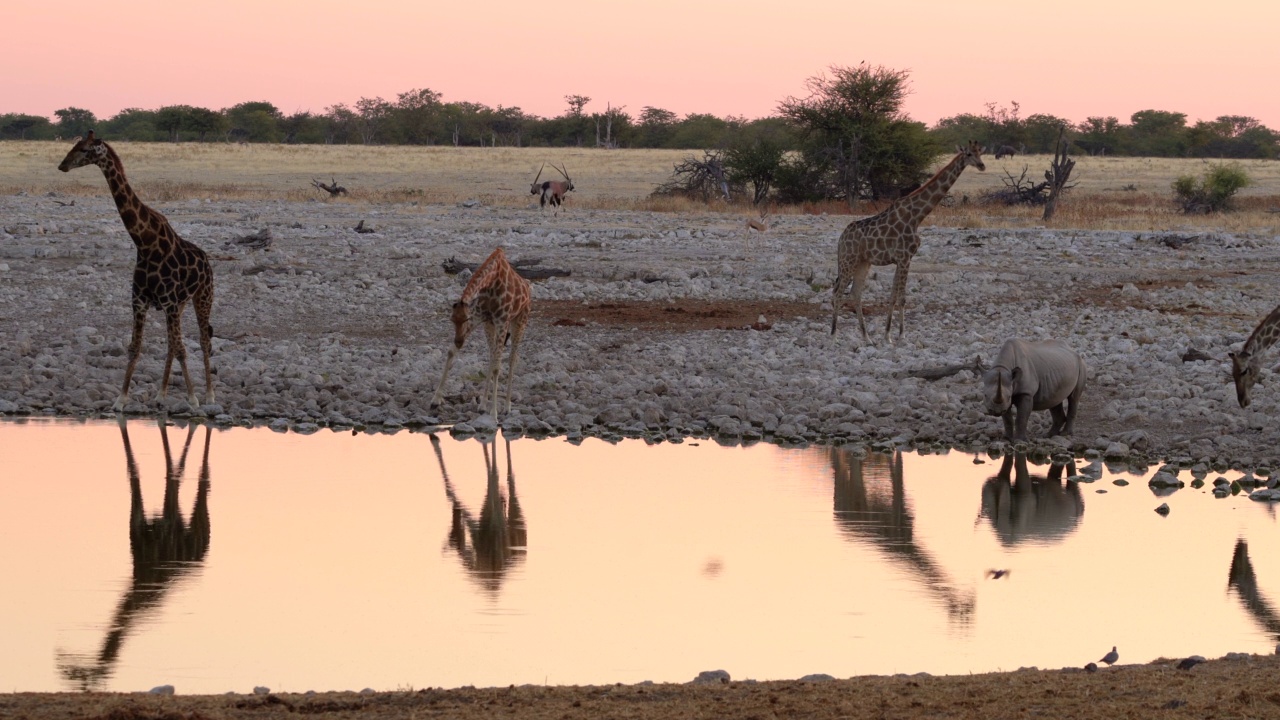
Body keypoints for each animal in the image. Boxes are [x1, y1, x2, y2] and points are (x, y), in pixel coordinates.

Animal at [57, 130, 216, 409]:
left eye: (85, 149)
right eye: (74, 145)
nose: (62, 165)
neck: (144, 242)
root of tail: (207, 261)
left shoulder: (168, 302)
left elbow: (183, 348)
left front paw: (193, 398)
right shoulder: (141, 301)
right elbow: (135, 347)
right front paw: (120, 400)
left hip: (202, 297)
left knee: (203, 340)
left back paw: (208, 394)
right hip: (180, 304)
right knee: (172, 343)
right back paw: (161, 394)